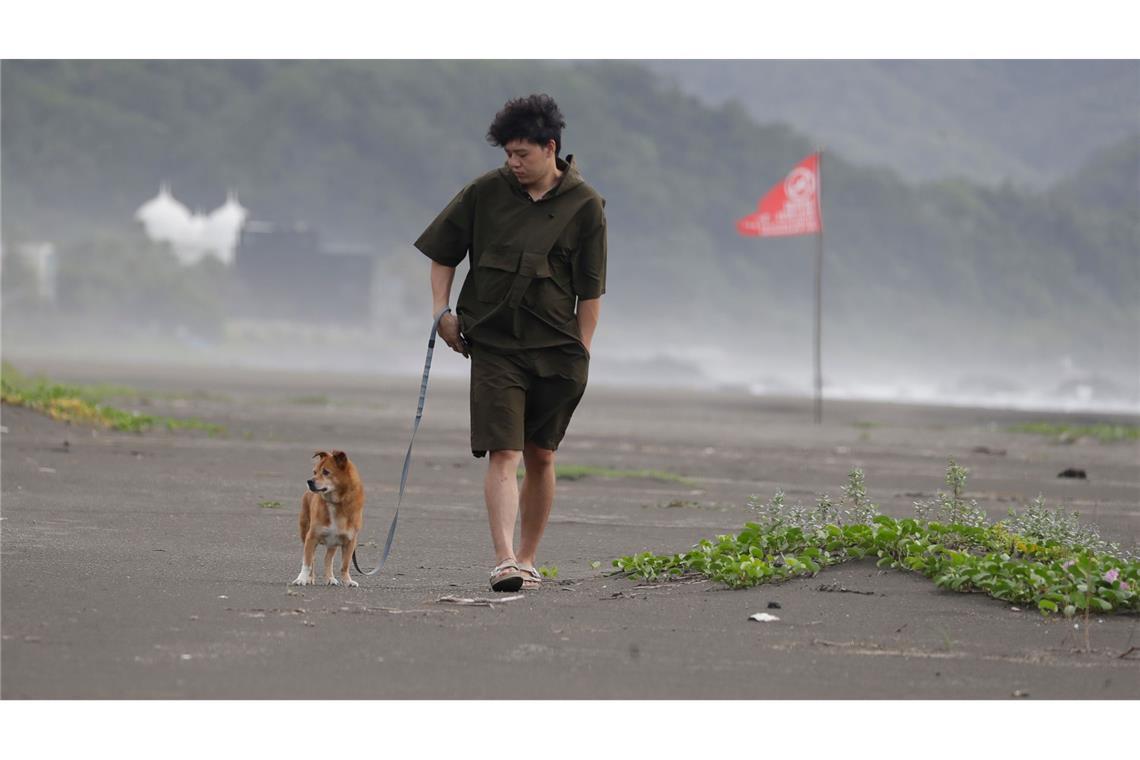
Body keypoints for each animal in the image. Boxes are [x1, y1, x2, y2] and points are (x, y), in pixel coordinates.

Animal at [289, 451, 364, 587]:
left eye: (326, 472)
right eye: (314, 472)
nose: (309, 481)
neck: (336, 503)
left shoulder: (350, 541)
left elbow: (345, 565)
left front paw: (347, 580)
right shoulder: (311, 538)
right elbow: (307, 563)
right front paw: (302, 578)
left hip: (332, 543)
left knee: (328, 559)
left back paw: (330, 578)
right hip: (305, 532)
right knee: (312, 559)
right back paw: (310, 578)